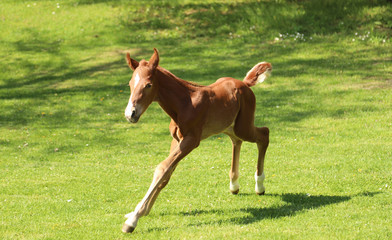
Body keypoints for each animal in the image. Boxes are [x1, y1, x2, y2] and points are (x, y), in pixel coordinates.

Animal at [123, 47, 272, 233]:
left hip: (243, 127)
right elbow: (167, 173)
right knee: (236, 141)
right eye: (130, 84)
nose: (130, 114)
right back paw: (234, 185)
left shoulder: (191, 141)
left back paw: (259, 186)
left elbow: (162, 168)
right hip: (228, 127)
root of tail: (244, 84)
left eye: (148, 85)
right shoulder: (176, 140)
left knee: (264, 134)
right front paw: (140, 212)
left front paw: (133, 219)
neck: (184, 103)